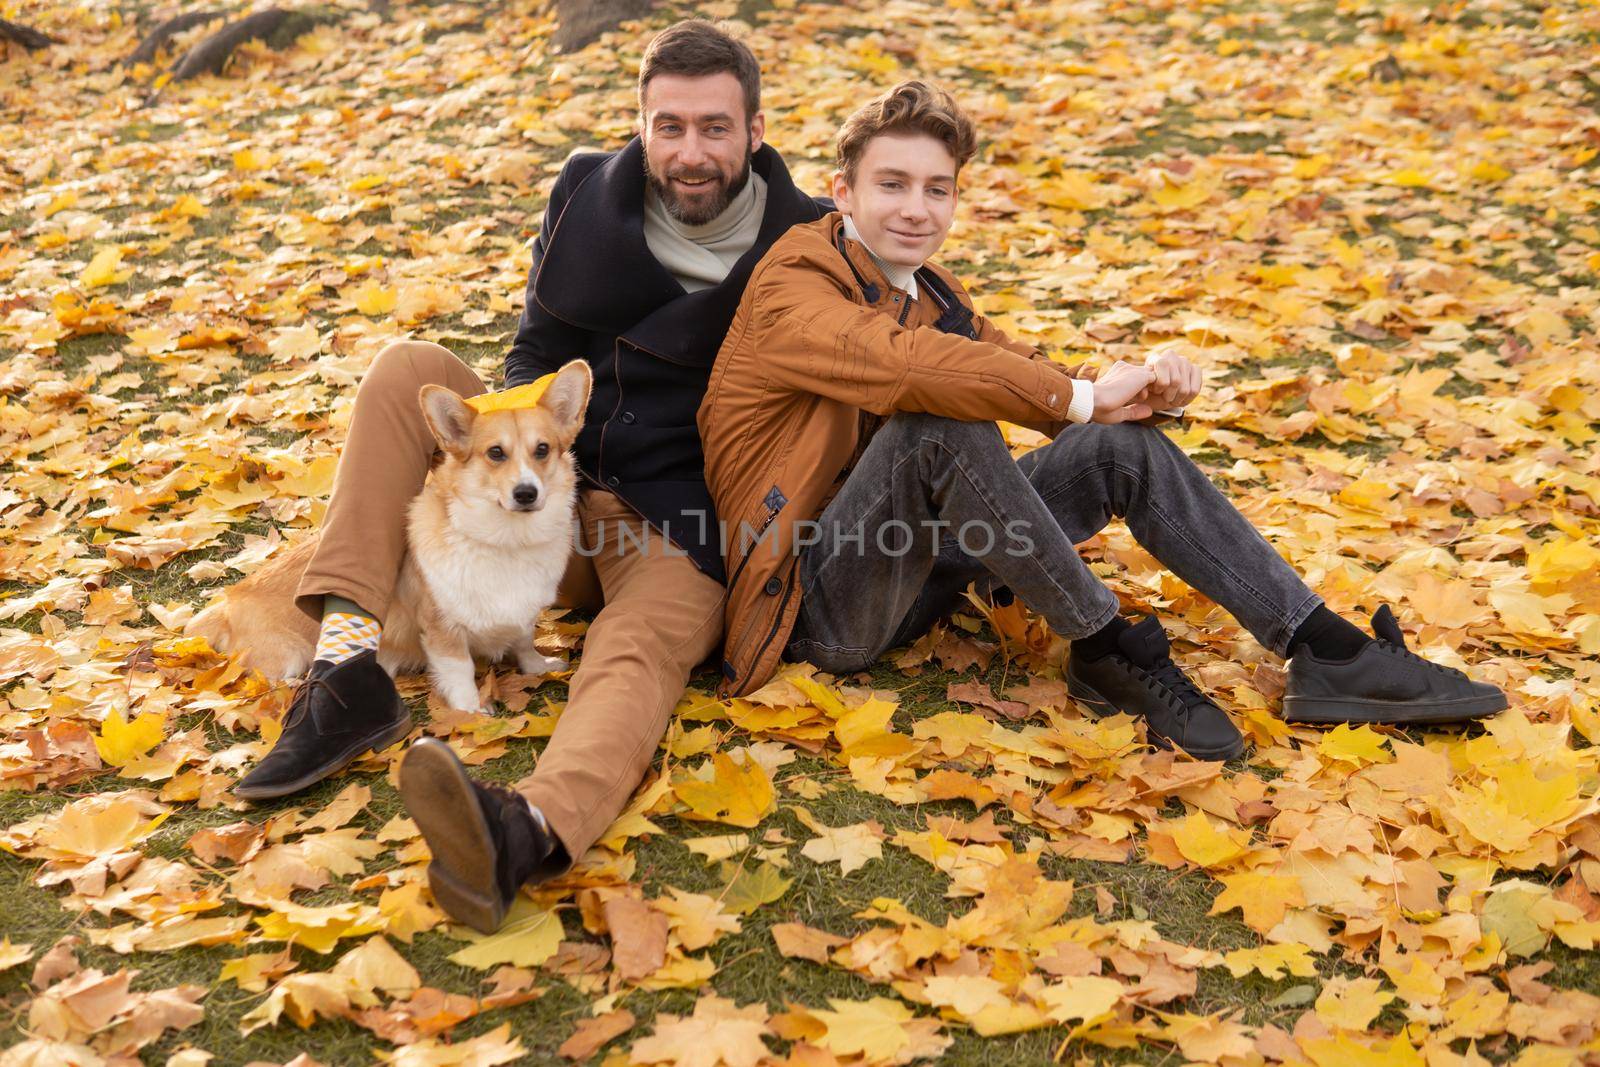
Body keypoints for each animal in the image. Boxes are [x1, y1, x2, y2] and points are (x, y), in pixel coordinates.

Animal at [184, 358, 592, 710]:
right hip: (289, 654)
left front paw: (538, 667)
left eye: (542, 449)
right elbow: (460, 672)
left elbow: (524, 641)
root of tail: (229, 603)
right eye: (495, 453)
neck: (507, 540)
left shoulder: (522, 617)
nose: (526, 493)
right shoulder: (442, 631)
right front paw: (470, 713)